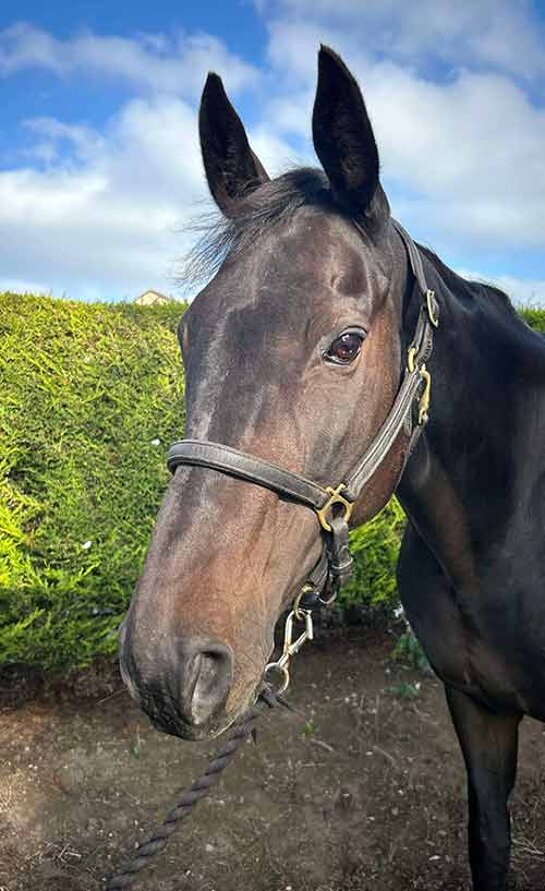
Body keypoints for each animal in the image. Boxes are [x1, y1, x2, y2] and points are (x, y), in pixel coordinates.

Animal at [118, 45, 544, 888]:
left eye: (346, 343)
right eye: (187, 333)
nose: (164, 664)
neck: (506, 527)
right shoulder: (475, 703)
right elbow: (488, 839)